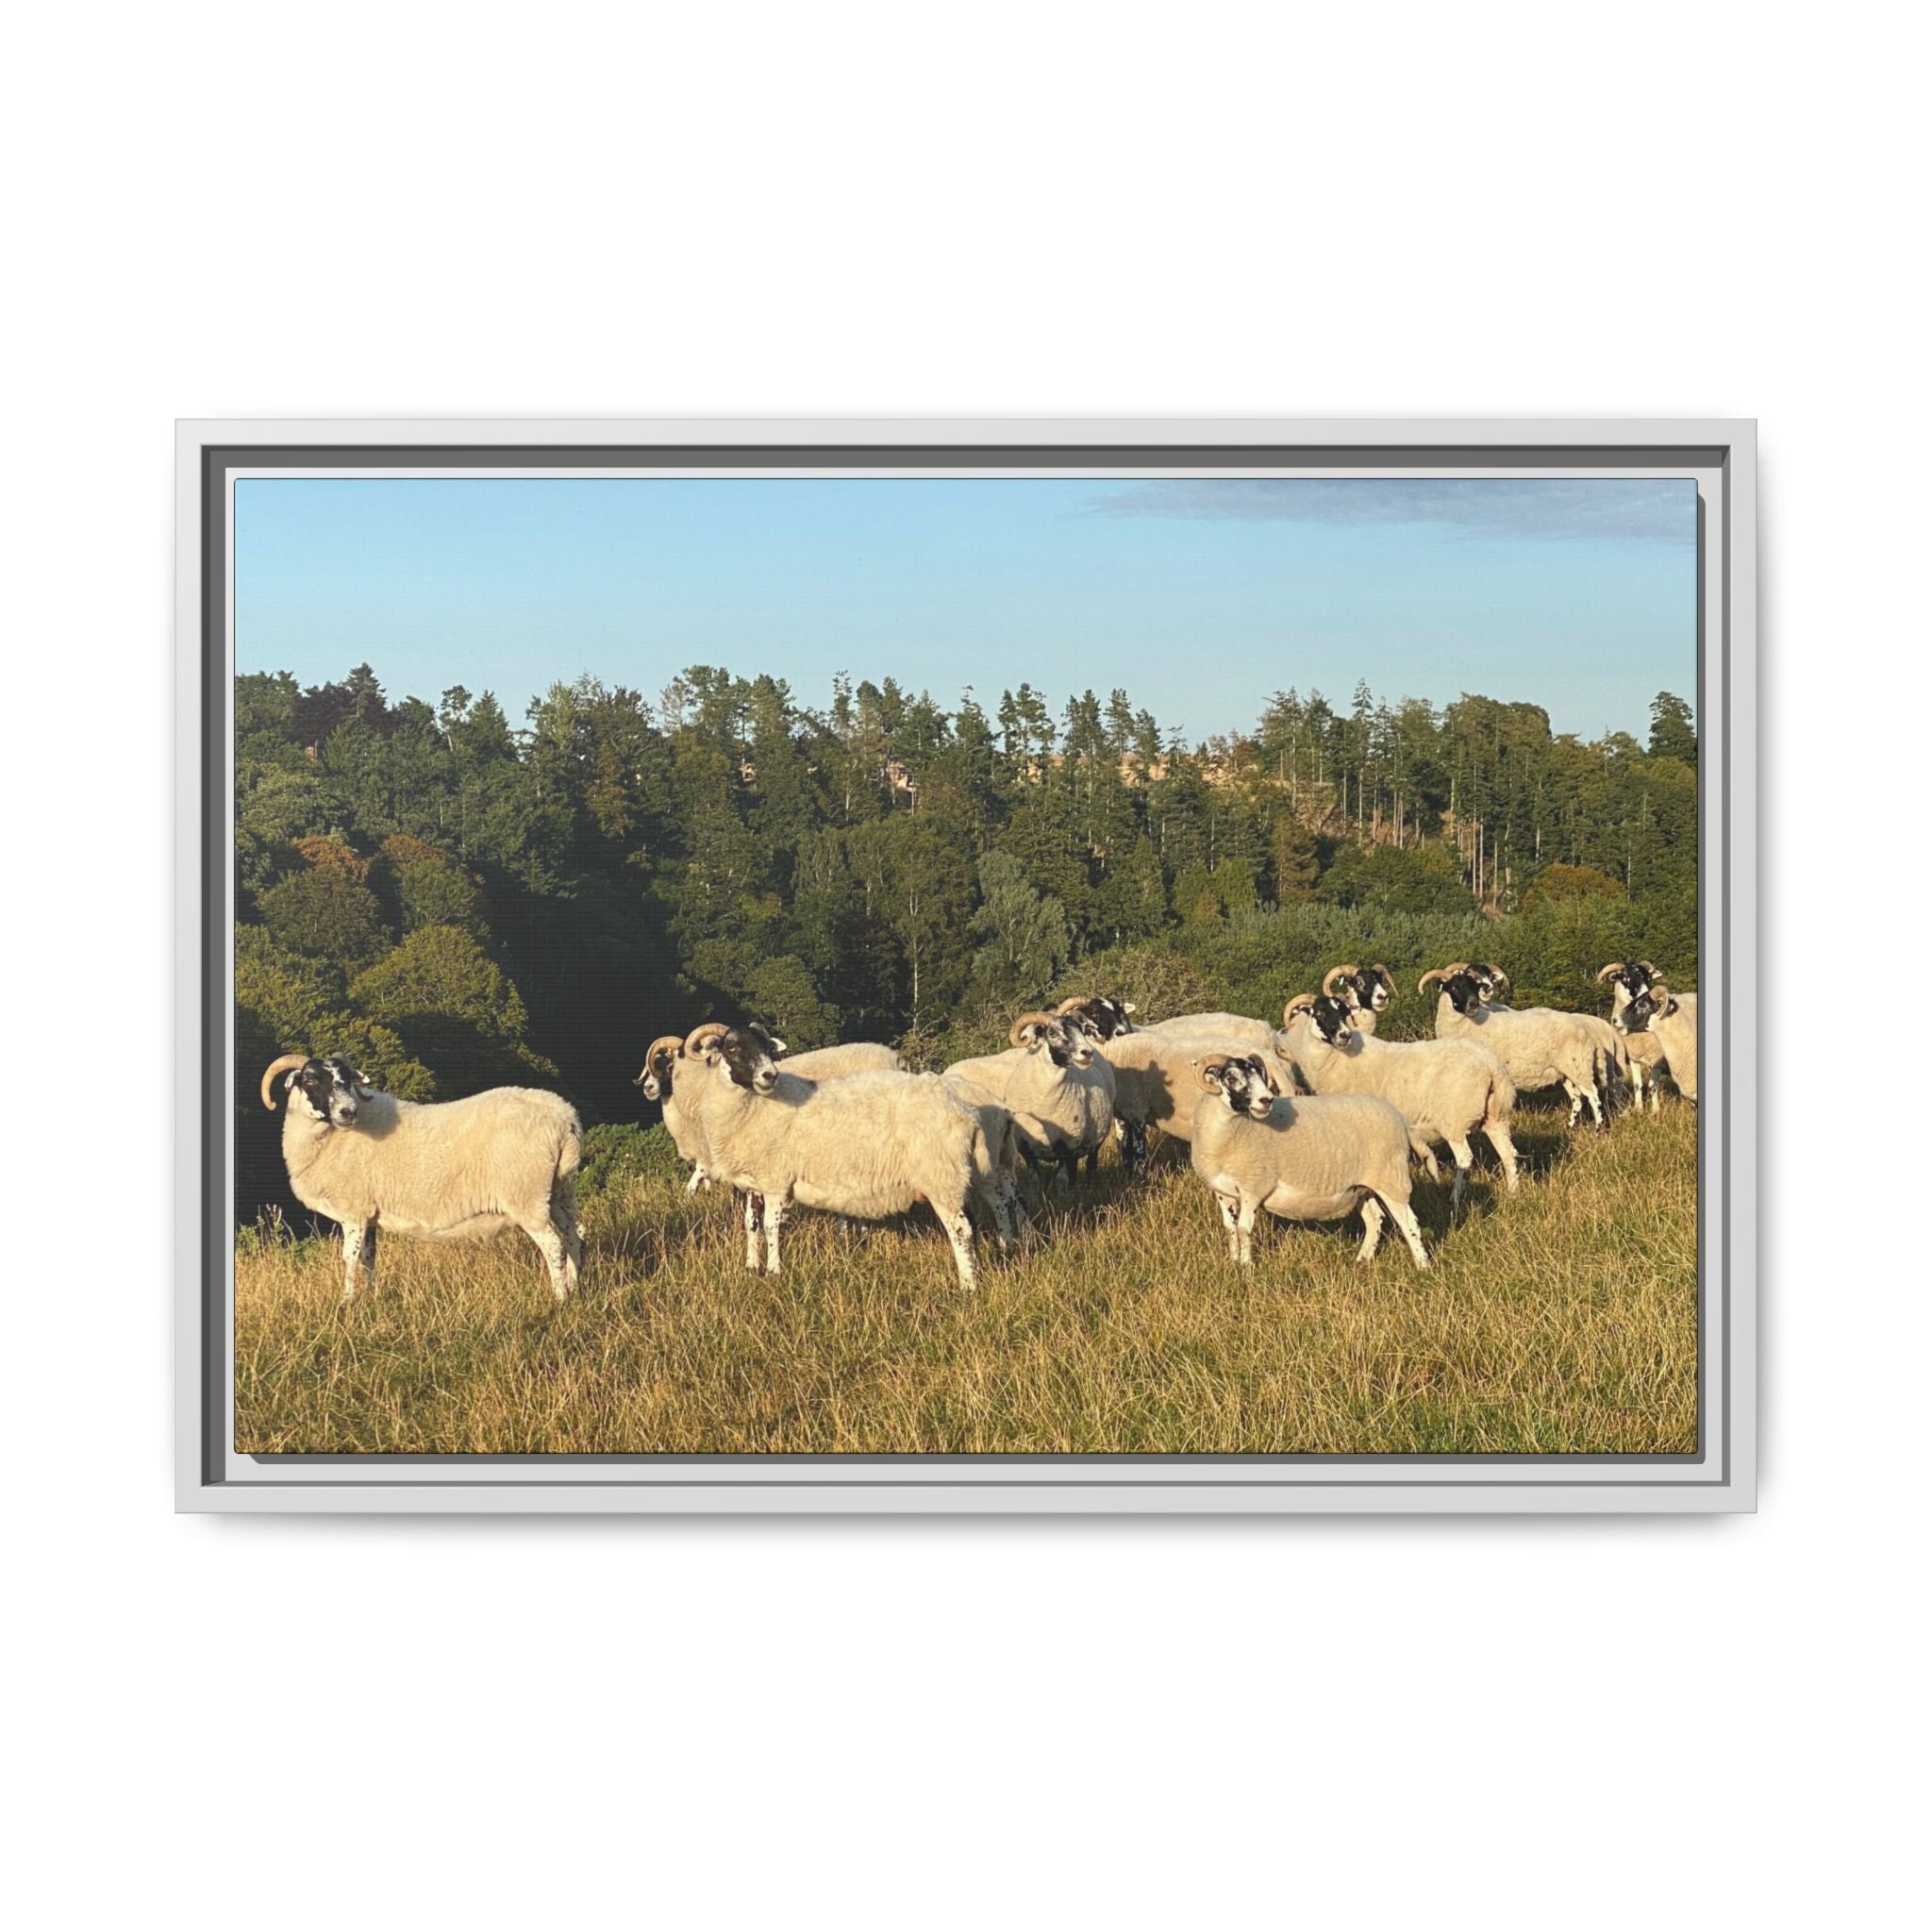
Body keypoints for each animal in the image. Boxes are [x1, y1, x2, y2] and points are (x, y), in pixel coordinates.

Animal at [259, 1053, 583, 1302]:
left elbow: (349, 1258)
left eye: (346, 1080)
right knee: (576, 1236)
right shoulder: (369, 1213)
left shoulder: (353, 1210)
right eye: (311, 1080)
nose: (348, 1111)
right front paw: (371, 1298)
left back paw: (559, 1299)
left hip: (526, 1195)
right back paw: (576, 1288)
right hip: (559, 1190)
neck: (329, 1139)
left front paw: (347, 1302)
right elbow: (369, 1257)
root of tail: (565, 1117)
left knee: (554, 1245)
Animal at [686, 1025, 990, 1286]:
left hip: (941, 1177)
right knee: (971, 1224)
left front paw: (773, 1271)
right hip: (952, 1179)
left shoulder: (775, 1181)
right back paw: (975, 1274)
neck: (754, 1107)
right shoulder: (753, 1182)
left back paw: (968, 1285)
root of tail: (966, 1113)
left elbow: (771, 1227)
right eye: (732, 1047)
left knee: (961, 1229)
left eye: (768, 1048)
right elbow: (751, 1224)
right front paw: (750, 1267)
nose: (770, 1075)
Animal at [1189, 1050, 1428, 1269]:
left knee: (1410, 1224)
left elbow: (1243, 1229)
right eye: (1231, 1077)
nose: (1267, 1100)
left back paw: (1422, 1266)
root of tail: (1400, 1120)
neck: (1235, 1129)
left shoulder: (1253, 1187)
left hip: (1392, 1179)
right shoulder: (1223, 1192)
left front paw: (1247, 1268)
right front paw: (1234, 1263)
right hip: (1362, 1186)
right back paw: (1362, 1261)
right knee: (1375, 1219)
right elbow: (1230, 1228)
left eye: (1259, 1074)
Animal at [1278, 993, 1519, 1207]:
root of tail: (1491, 1065)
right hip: (1495, 1115)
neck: (1337, 1058)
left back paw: (1455, 1199)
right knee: (1509, 1154)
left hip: (1455, 1119)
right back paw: (1512, 1192)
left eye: (1344, 1012)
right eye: (1319, 1012)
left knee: (1464, 1159)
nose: (1345, 1035)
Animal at [1418, 962, 1610, 1128]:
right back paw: (1571, 1126)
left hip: (1580, 1066)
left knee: (1593, 1095)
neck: (1469, 1023)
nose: (1473, 1004)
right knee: (1577, 1097)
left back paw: (1599, 1128)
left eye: (1474, 987)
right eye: (1454, 987)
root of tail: (1588, 1030)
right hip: (1566, 1071)